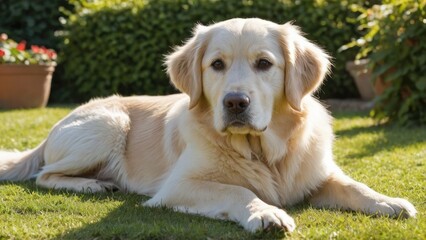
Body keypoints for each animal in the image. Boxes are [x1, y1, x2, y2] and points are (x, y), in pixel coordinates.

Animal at [0, 18, 416, 232]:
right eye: (216, 64)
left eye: (264, 63)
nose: (235, 102)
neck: (261, 151)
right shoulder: (178, 186)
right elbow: (237, 191)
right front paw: (266, 212)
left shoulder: (318, 174)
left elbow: (354, 186)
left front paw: (389, 201)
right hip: (110, 123)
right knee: (45, 174)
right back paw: (92, 184)